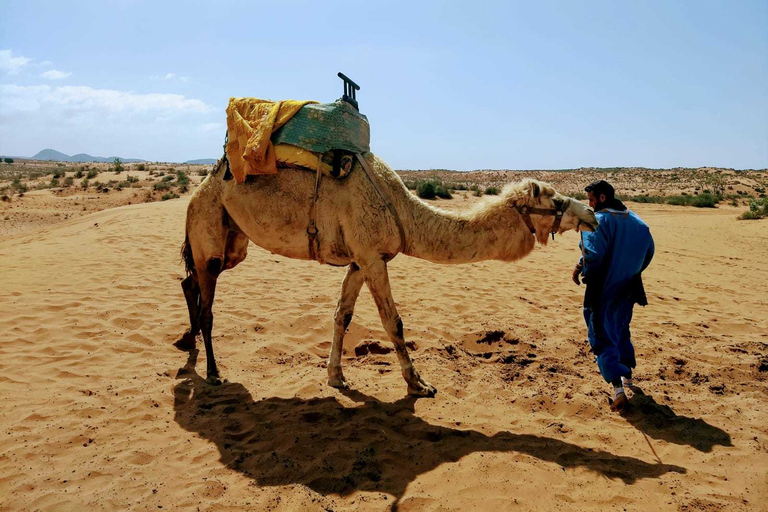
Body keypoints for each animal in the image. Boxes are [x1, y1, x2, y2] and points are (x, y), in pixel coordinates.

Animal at [180, 154, 600, 398]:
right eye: (555, 200)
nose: (592, 215)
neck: (403, 212)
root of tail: (199, 188)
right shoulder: (371, 257)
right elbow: (392, 322)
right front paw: (419, 383)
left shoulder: (360, 259)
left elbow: (342, 315)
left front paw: (336, 377)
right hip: (210, 229)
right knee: (207, 301)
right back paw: (213, 373)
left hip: (234, 241)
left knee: (189, 281)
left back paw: (188, 349)